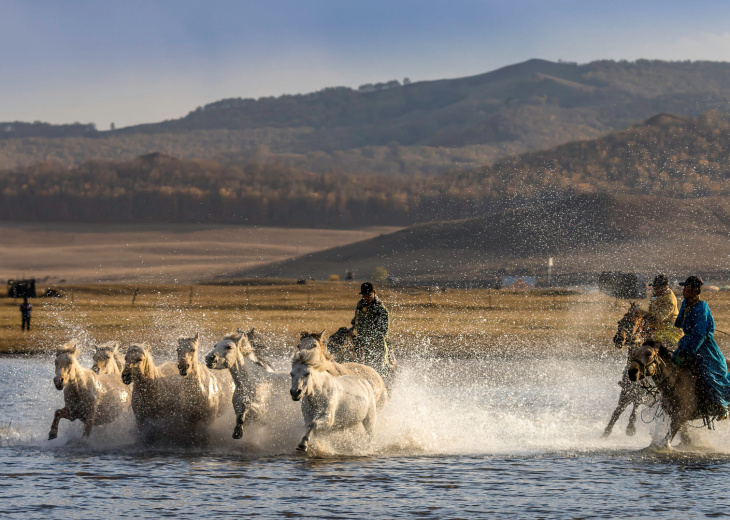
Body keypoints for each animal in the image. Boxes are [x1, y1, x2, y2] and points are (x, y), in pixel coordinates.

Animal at [600, 302, 652, 436]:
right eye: (620, 322)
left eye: (632, 324)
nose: (618, 339)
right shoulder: (626, 391)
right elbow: (617, 411)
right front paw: (606, 432)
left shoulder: (642, 393)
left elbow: (636, 404)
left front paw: (630, 427)